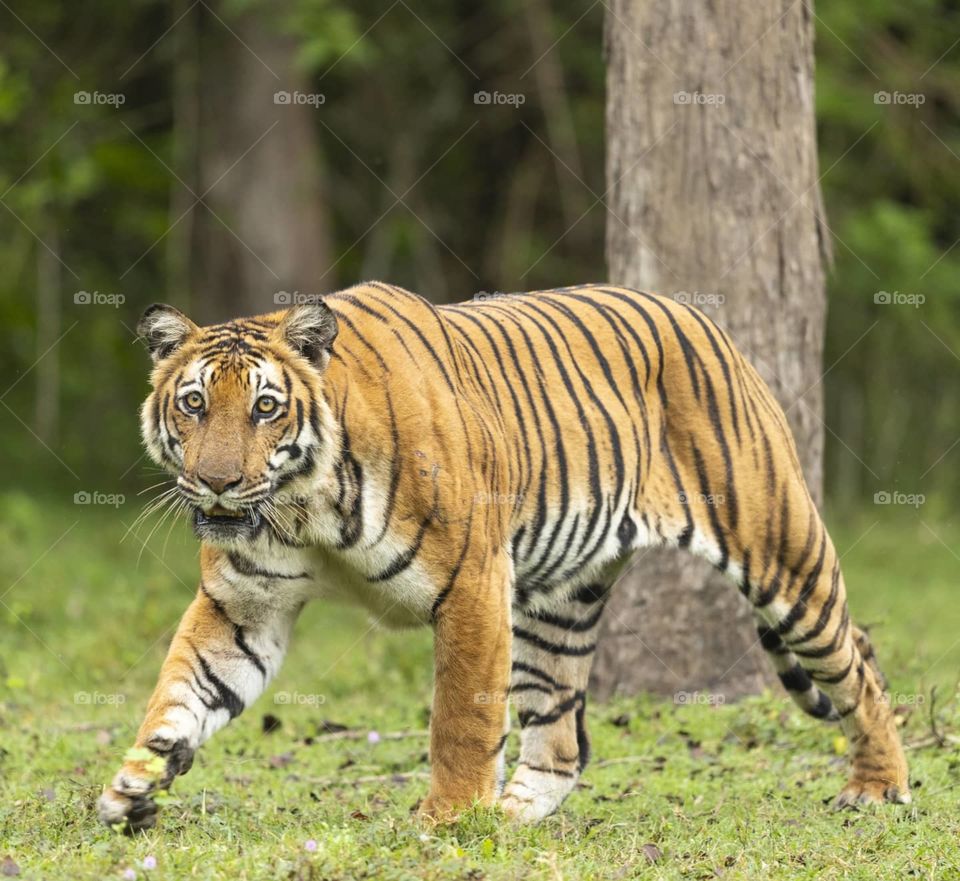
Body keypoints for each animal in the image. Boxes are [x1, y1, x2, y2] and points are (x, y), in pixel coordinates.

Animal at [98, 281, 909, 831]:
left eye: (265, 408)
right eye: (194, 404)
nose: (217, 481)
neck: (303, 505)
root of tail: (702, 317)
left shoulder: (472, 584)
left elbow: (461, 715)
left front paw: (447, 818)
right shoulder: (244, 604)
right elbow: (183, 687)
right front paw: (136, 780)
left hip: (781, 550)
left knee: (859, 666)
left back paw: (879, 787)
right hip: (561, 604)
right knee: (560, 738)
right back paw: (511, 814)